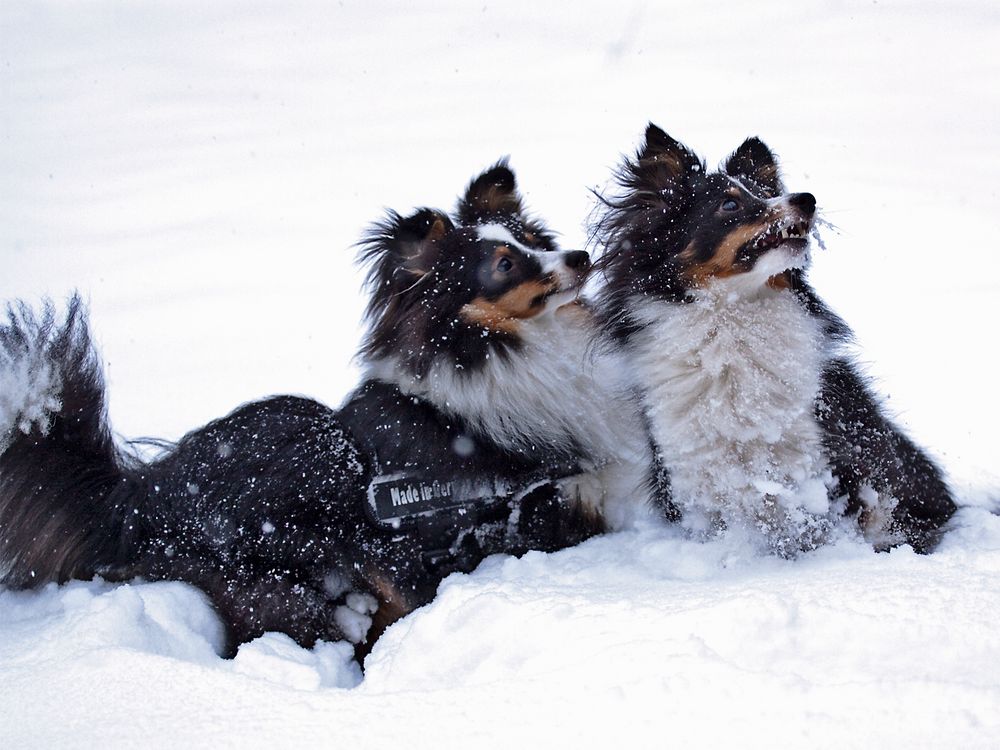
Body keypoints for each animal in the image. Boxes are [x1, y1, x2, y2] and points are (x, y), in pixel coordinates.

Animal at [0, 163, 660, 656]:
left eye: (537, 242)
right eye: (504, 264)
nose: (580, 257)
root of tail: (136, 497)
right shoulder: (472, 530)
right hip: (295, 559)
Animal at [588, 123, 956, 556]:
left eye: (766, 192)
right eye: (729, 205)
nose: (807, 199)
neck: (731, 320)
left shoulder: (820, 449)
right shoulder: (689, 462)